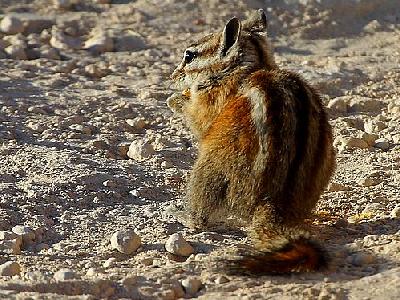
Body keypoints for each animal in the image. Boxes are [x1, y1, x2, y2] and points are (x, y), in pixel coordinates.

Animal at [167, 9, 336, 276]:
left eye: (189, 55)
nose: (172, 77)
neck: (248, 68)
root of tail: (274, 202)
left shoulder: (211, 102)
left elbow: (198, 119)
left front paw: (175, 99)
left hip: (209, 169)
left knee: (201, 217)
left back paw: (182, 214)